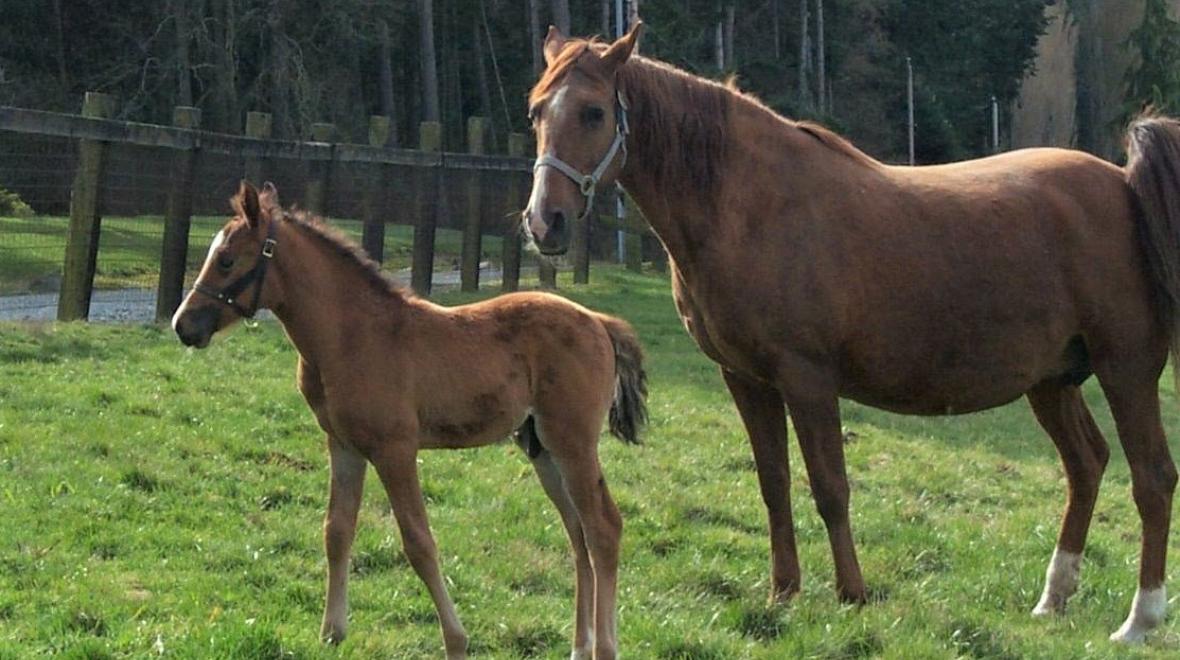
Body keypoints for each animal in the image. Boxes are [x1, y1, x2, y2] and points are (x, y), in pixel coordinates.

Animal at [171, 181, 648, 660]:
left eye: (226, 259)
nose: (182, 325)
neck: (352, 336)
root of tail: (599, 322)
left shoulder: (395, 449)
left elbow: (419, 542)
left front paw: (456, 640)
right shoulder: (343, 444)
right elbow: (336, 531)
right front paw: (332, 632)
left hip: (573, 442)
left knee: (603, 528)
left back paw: (605, 647)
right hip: (542, 448)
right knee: (578, 534)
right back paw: (580, 646)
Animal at [524, 22, 1180, 643]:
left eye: (593, 111)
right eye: (536, 111)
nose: (543, 222)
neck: (751, 208)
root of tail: (1121, 182)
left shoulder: (808, 379)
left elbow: (830, 487)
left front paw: (853, 594)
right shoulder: (745, 379)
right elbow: (774, 485)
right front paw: (784, 593)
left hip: (1126, 370)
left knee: (1152, 478)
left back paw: (1140, 620)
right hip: (1051, 382)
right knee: (1086, 465)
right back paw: (1054, 599)